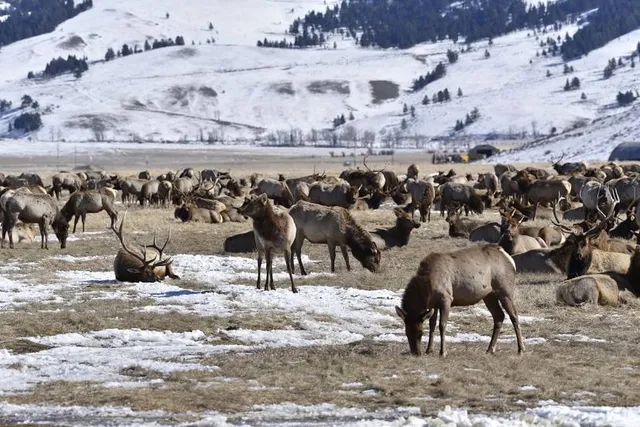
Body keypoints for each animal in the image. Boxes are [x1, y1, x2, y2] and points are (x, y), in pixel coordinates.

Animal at [395, 244, 524, 357]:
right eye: (406, 333)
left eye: (420, 333)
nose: (416, 352)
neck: (428, 288)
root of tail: (509, 258)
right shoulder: (433, 304)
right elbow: (432, 324)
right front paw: (429, 350)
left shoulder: (446, 298)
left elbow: (442, 324)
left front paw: (443, 352)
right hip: (489, 295)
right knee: (499, 316)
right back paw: (490, 349)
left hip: (505, 290)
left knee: (514, 315)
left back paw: (521, 349)